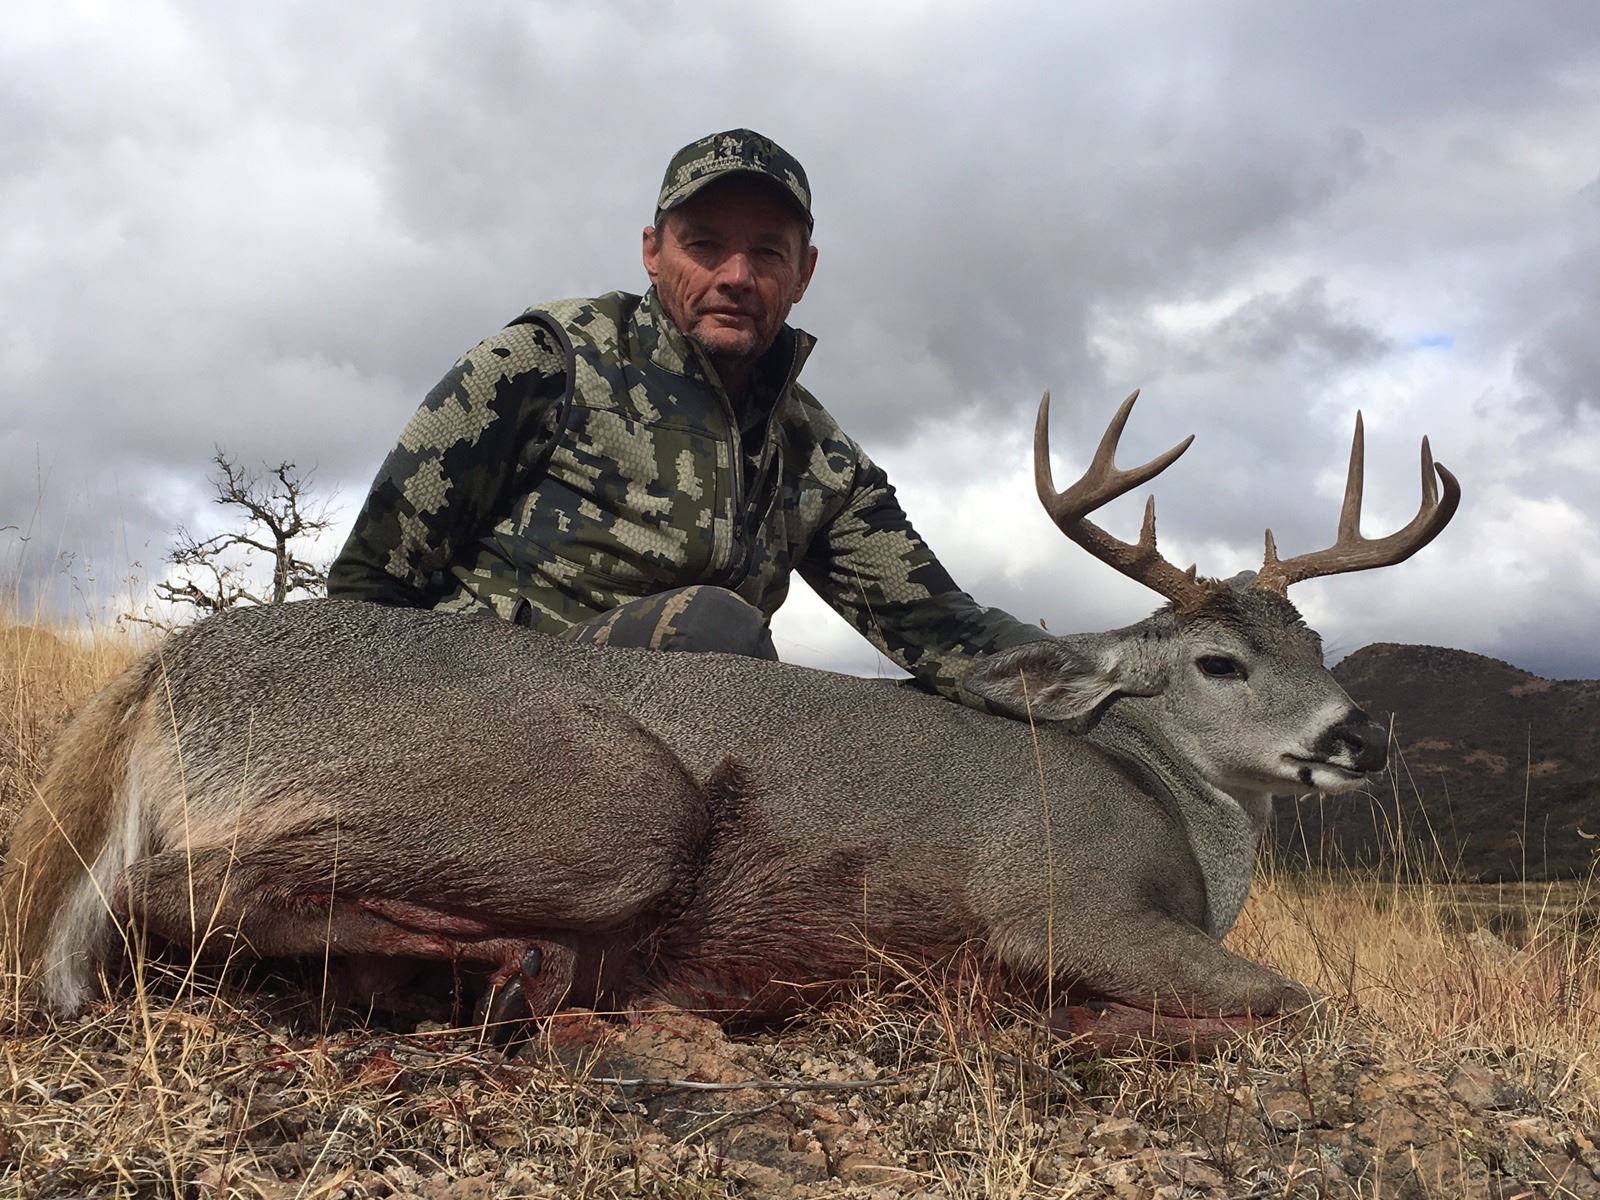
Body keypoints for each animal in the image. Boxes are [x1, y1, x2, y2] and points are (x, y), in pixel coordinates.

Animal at [0, 392, 1459, 1048]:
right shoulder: (1061, 900)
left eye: (1316, 645)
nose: (1362, 737)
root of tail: (158, 674)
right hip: (612, 801)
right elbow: (1304, 1004)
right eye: (1218, 661)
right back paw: (512, 974)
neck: (1161, 805)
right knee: (173, 893)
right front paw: (1073, 1020)